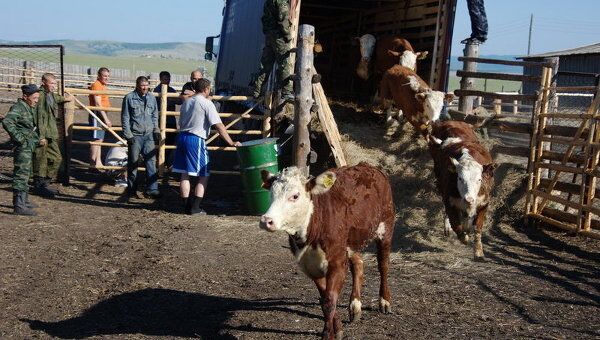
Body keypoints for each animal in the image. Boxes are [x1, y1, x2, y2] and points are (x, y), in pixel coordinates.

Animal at [258, 163, 394, 338]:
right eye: (271, 194)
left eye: (295, 196)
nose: (266, 220)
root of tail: (367, 166)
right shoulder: (311, 266)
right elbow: (325, 300)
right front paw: (337, 329)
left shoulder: (337, 263)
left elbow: (330, 301)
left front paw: (328, 334)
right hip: (349, 243)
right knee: (358, 263)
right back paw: (355, 306)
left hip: (386, 227)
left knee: (383, 265)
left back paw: (384, 301)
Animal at [428, 122, 494, 260]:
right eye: (460, 178)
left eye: (479, 179)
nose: (469, 199)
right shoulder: (449, 201)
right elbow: (456, 225)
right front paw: (464, 237)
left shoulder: (484, 203)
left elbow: (478, 228)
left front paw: (478, 252)